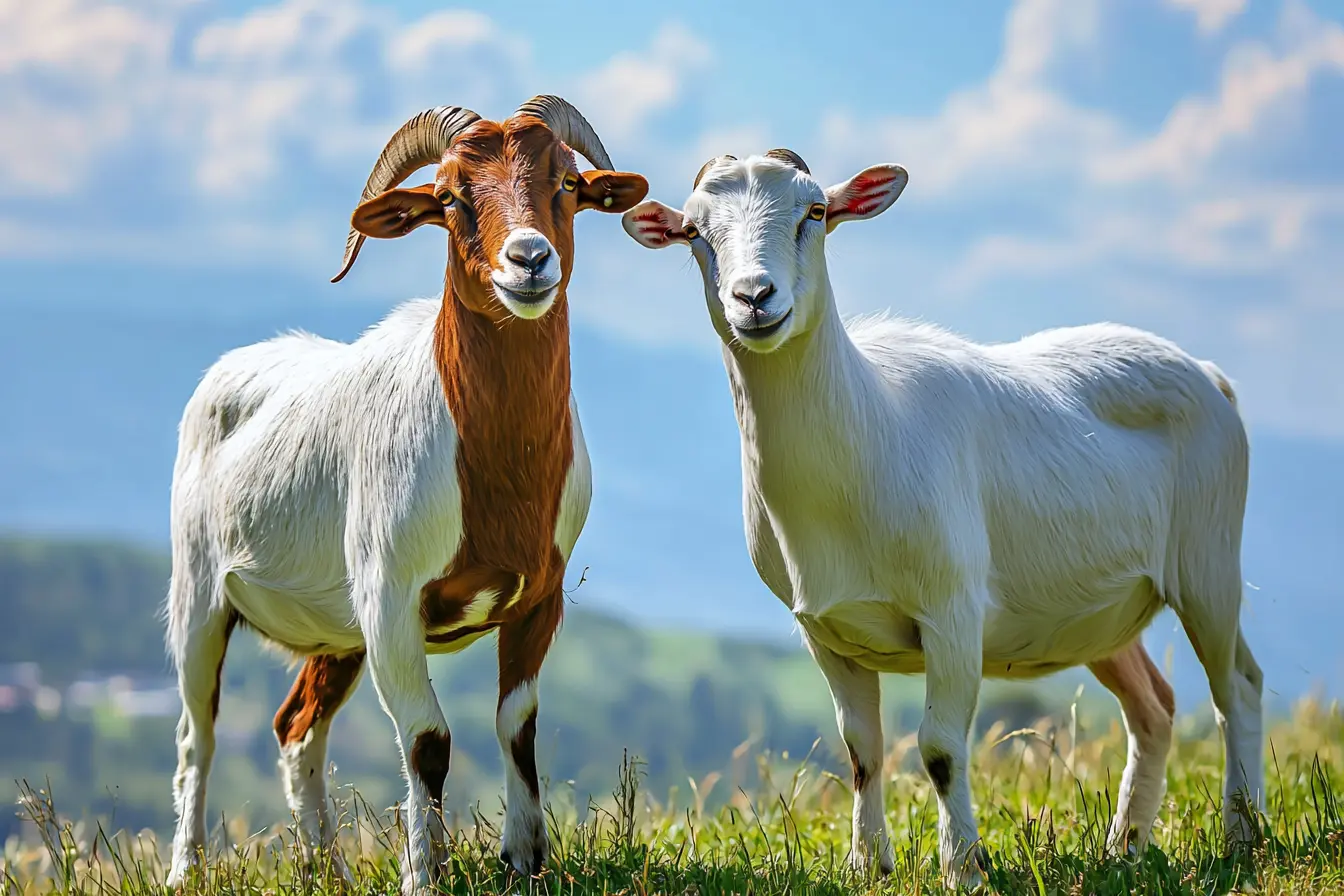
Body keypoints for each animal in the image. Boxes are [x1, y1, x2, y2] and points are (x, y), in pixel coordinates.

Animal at [164, 95, 648, 894]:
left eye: (568, 183)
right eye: (449, 197)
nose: (529, 260)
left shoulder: (538, 597)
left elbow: (518, 726)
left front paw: (524, 861)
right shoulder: (390, 597)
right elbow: (427, 741)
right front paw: (424, 874)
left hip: (337, 630)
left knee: (295, 729)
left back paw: (324, 868)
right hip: (199, 593)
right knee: (195, 733)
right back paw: (185, 870)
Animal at [622, 151, 1262, 889]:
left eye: (815, 212)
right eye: (695, 232)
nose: (754, 298)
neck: (868, 422)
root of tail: (1209, 374)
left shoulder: (953, 612)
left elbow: (939, 749)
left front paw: (964, 869)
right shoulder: (825, 630)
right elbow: (862, 750)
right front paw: (868, 865)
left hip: (1209, 560)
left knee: (1238, 688)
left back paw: (1243, 840)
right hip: (1099, 612)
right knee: (1154, 708)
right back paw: (1123, 847)